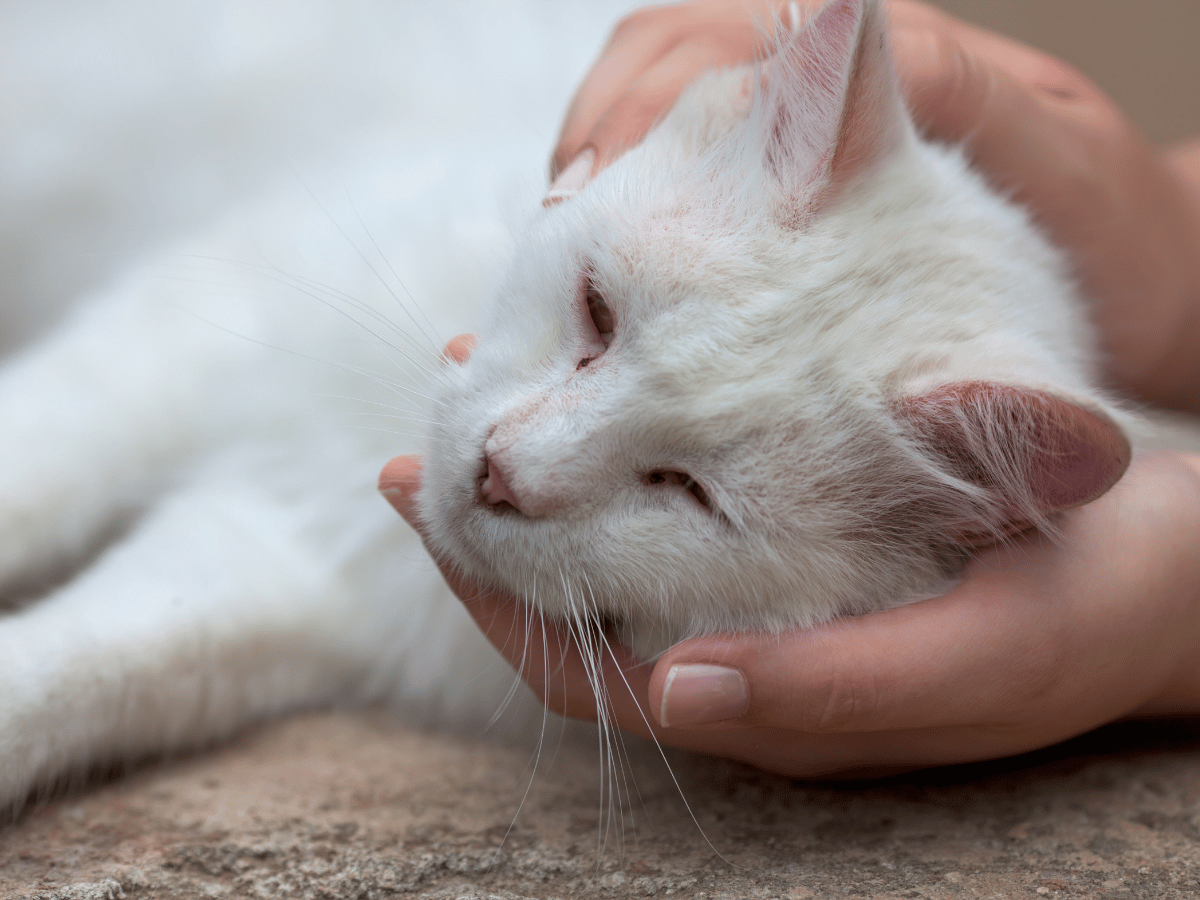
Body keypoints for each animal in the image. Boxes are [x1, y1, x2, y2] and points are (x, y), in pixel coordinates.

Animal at [0, 0, 1142, 816]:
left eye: (688, 492)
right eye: (598, 310)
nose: (500, 471)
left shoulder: (271, 569)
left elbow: (79, 668)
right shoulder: (179, 334)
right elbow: (35, 464)